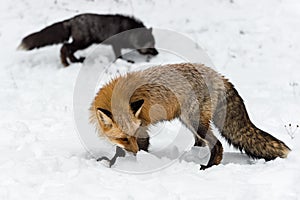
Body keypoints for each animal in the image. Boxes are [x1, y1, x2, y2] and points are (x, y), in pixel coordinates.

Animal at [18, 13, 159, 66]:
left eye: (154, 44)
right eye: (151, 45)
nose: (157, 53)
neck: (129, 31)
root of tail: (71, 20)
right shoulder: (116, 44)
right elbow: (119, 55)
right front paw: (126, 61)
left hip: (81, 43)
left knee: (68, 49)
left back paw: (75, 61)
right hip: (83, 42)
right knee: (65, 47)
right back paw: (67, 63)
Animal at [89, 62, 290, 169]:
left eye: (130, 137)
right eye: (123, 138)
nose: (136, 153)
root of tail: (218, 75)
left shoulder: (142, 127)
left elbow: (137, 147)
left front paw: (132, 162)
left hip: (195, 121)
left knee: (217, 145)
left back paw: (208, 167)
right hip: (189, 122)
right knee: (201, 143)